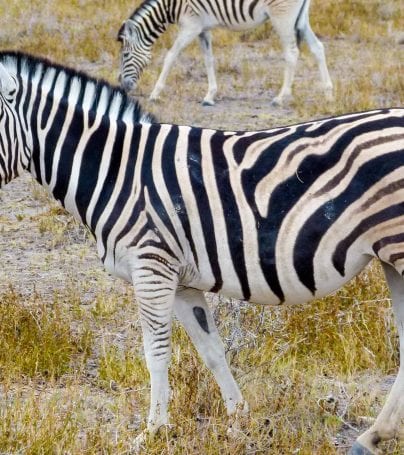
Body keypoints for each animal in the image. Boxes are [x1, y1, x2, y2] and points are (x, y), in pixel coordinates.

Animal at [0, 51, 404, 454]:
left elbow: (156, 352)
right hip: (391, 259)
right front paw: (240, 420)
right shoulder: (181, 281)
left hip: (397, 249)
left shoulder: (152, 266)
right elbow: (211, 348)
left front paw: (152, 431)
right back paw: (373, 436)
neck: (115, 172)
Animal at [117, 0, 332, 105]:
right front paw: (210, 96)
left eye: (125, 56)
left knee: (292, 53)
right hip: (300, 18)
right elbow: (208, 60)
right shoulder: (202, 29)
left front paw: (155, 93)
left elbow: (170, 56)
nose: (123, 87)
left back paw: (281, 97)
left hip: (282, 17)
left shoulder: (191, 27)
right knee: (318, 48)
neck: (172, 6)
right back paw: (328, 92)